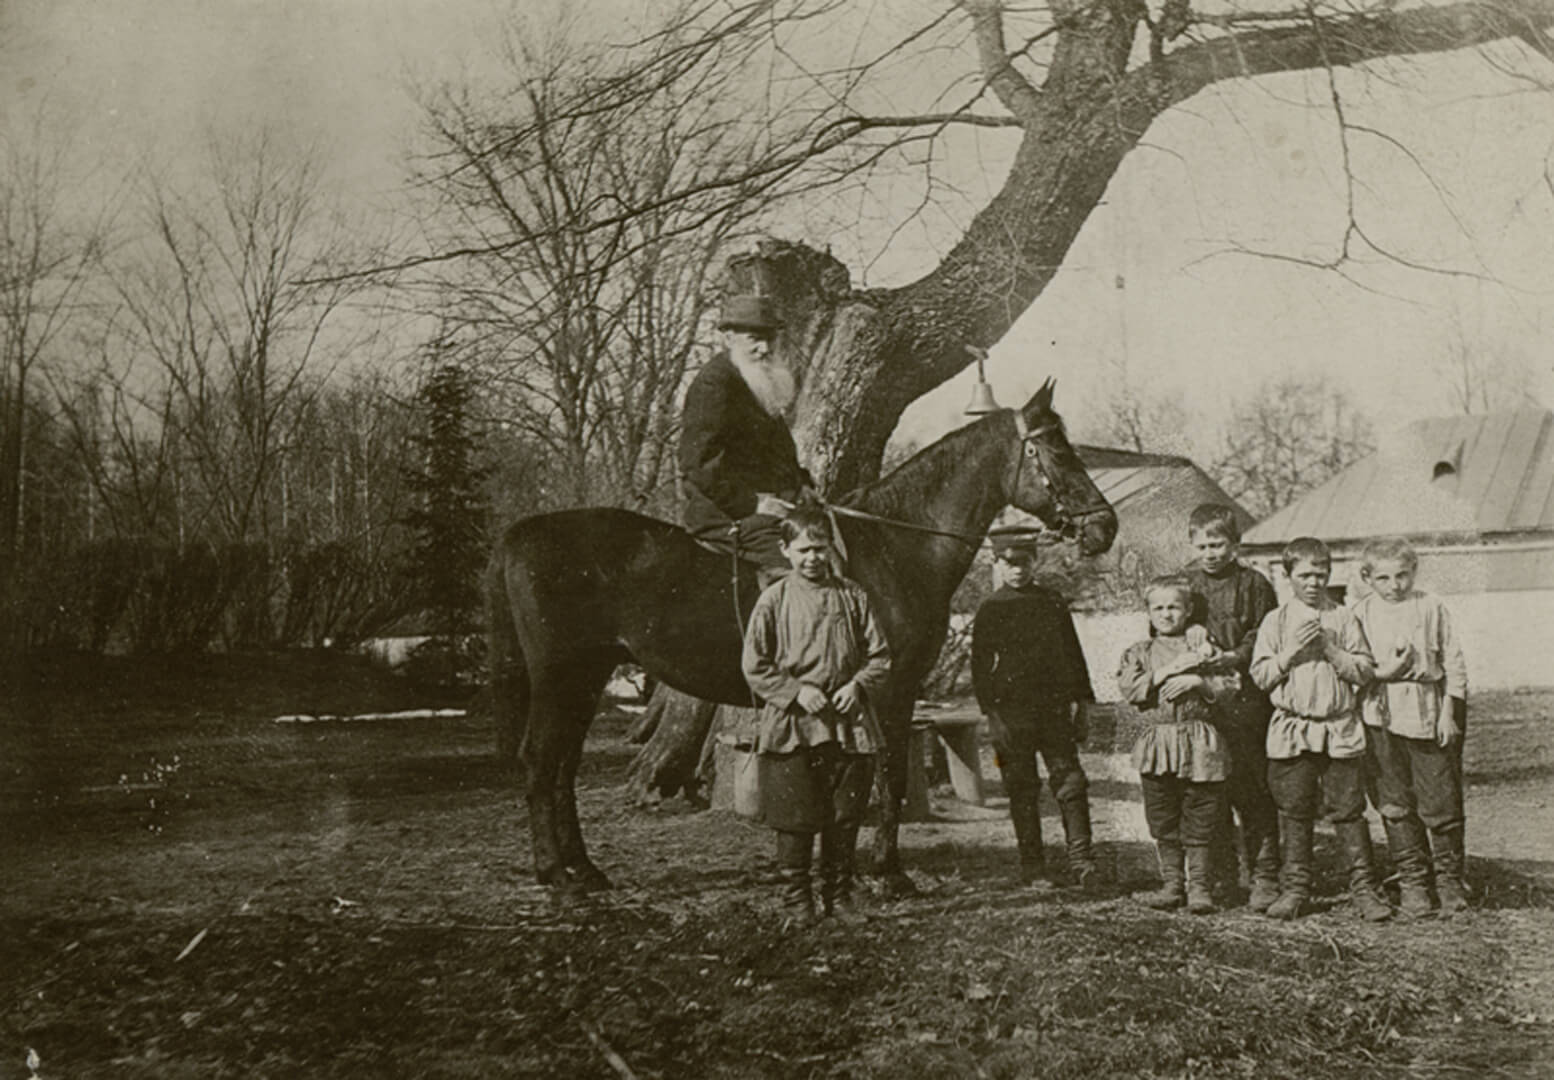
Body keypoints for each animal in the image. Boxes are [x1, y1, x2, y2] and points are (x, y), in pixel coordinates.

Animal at [491, 380, 1112, 895]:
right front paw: (888, 875)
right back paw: (557, 874)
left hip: (586, 677)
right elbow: (883, 778)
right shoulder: (889, 690)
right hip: (559, 677)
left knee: (562, 767)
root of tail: (520, 532)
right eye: (1057, 451)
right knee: (540, 762)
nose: (1105, 526)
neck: (894, 548)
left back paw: (584, 869)